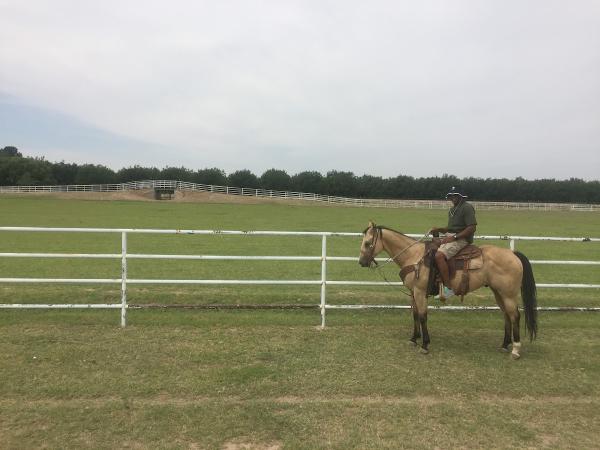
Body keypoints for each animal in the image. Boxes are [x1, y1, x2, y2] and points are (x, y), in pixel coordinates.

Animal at [358, 221, 536, 358]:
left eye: (367, 243)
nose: (361, 262)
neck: (414, 257)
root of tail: (513, 254)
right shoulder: (413, 293)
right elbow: (415, 315)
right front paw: (414, 339)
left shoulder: (420, 292)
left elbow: (422, 316)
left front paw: (425, 345)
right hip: (498, 292)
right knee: (506, 315)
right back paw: (505, 345)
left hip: (508, 294)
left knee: (515, 316)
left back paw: (515, 349)